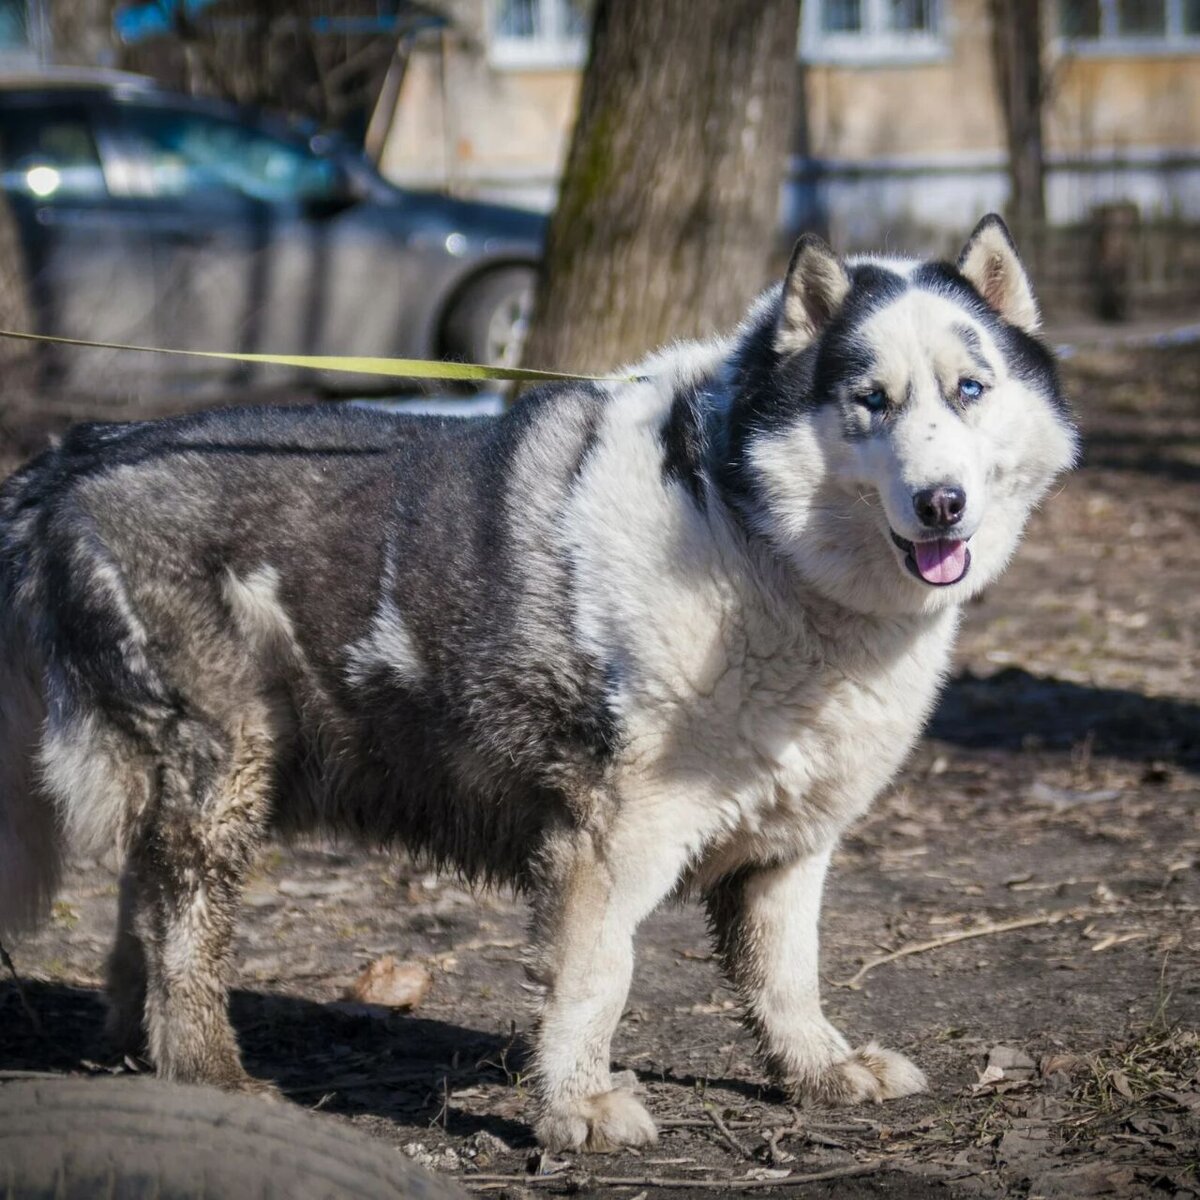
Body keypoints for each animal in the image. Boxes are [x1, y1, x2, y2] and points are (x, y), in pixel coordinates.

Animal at [0, 218, 1080, 1152]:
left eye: (971, 388)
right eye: (873, 400)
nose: (942, 504)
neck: (746, 529)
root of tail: (73, 458)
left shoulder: (791, 842)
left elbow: (787, 971)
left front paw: (819, 1069)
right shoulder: (612, 835)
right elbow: (598, 976)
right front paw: (580, 1107)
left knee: (142, 900)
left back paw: (133, 1048)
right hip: (226, 765)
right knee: (179, 923)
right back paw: (209, 1075)